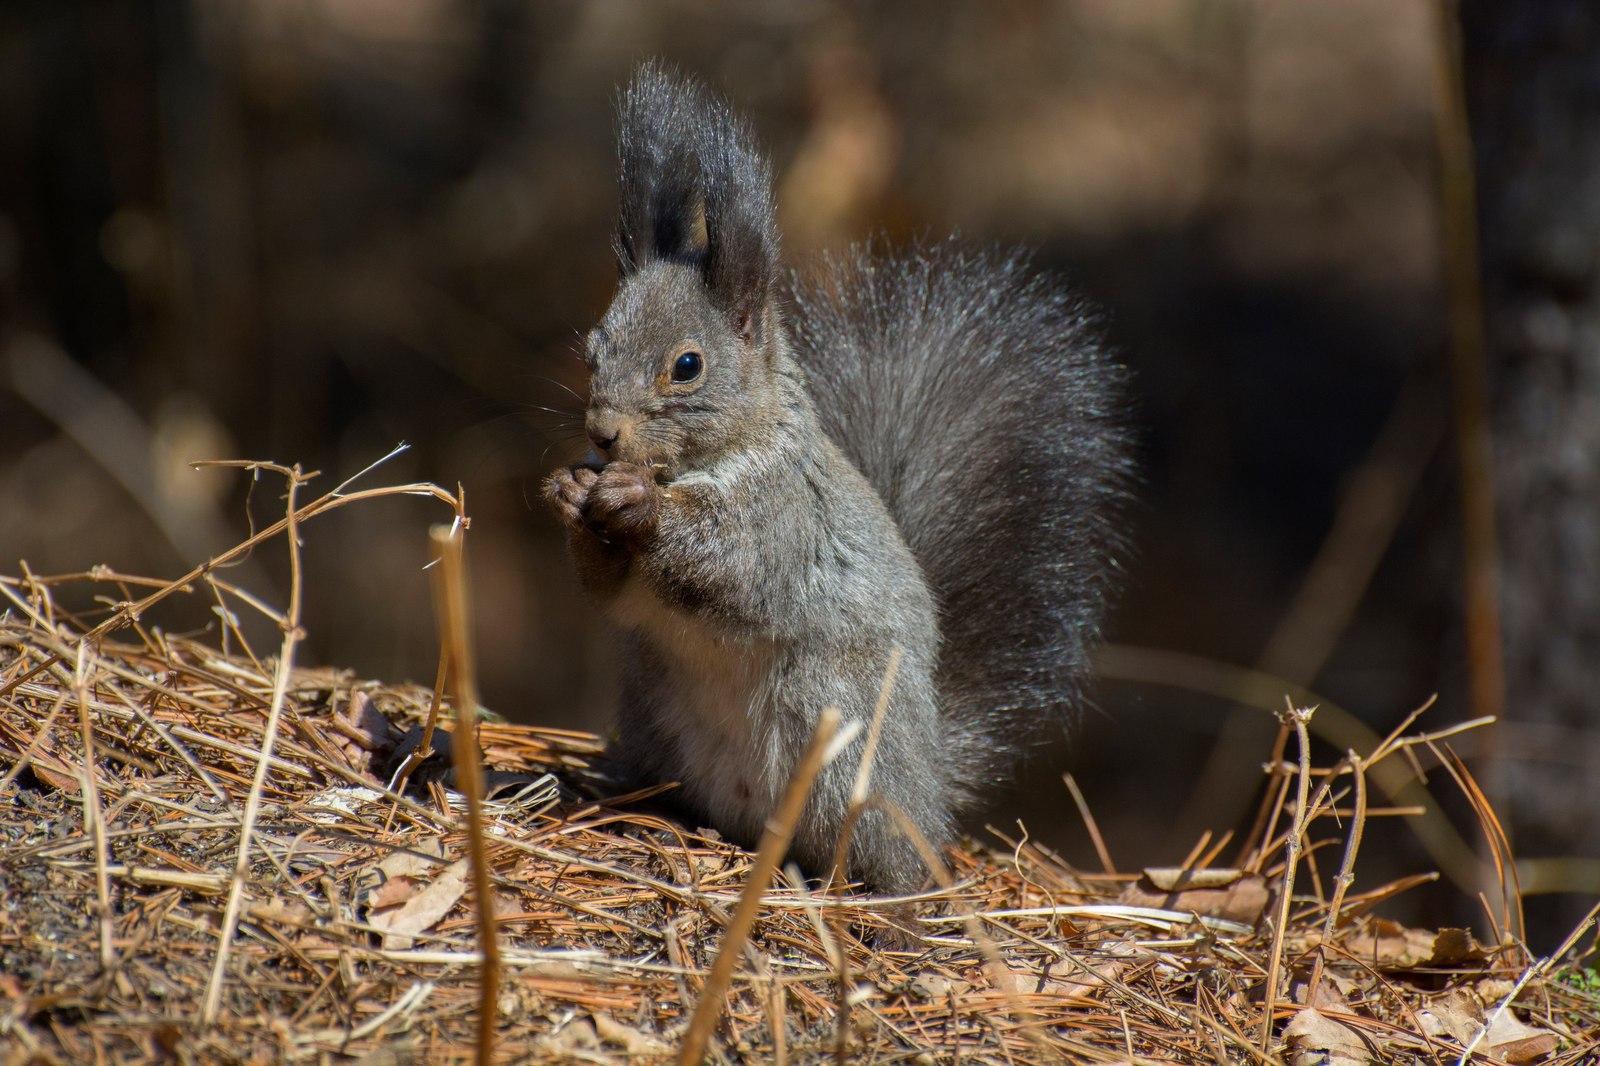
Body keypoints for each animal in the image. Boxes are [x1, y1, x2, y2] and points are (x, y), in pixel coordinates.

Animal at [544, 64, 1132, 896]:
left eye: (687, 365)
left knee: (882, 860)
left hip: (835, 733)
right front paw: (572, 494)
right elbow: (616, 594)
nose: (601, 434)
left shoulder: (786, 520)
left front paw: (638, 503)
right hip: (655, 718)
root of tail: (930, 789)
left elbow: (732, 565)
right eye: (593, 348)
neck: (716, 458)